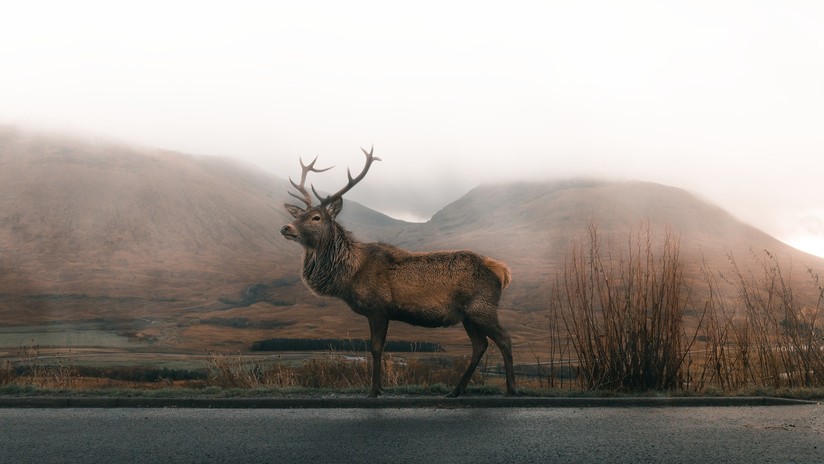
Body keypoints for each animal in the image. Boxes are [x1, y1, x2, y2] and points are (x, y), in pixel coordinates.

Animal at [282, 149, 516, 398]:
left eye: (316, 217)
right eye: (299, 215)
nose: (286, 228)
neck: (349, 275)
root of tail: (502, 272)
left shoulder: (379, 308)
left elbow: (376, 348)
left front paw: (374, 390)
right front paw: (380, 387)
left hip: (482, 307)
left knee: (504, 338)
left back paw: (511, 389)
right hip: (467, 315)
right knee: (480, 345)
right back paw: (456, 390)